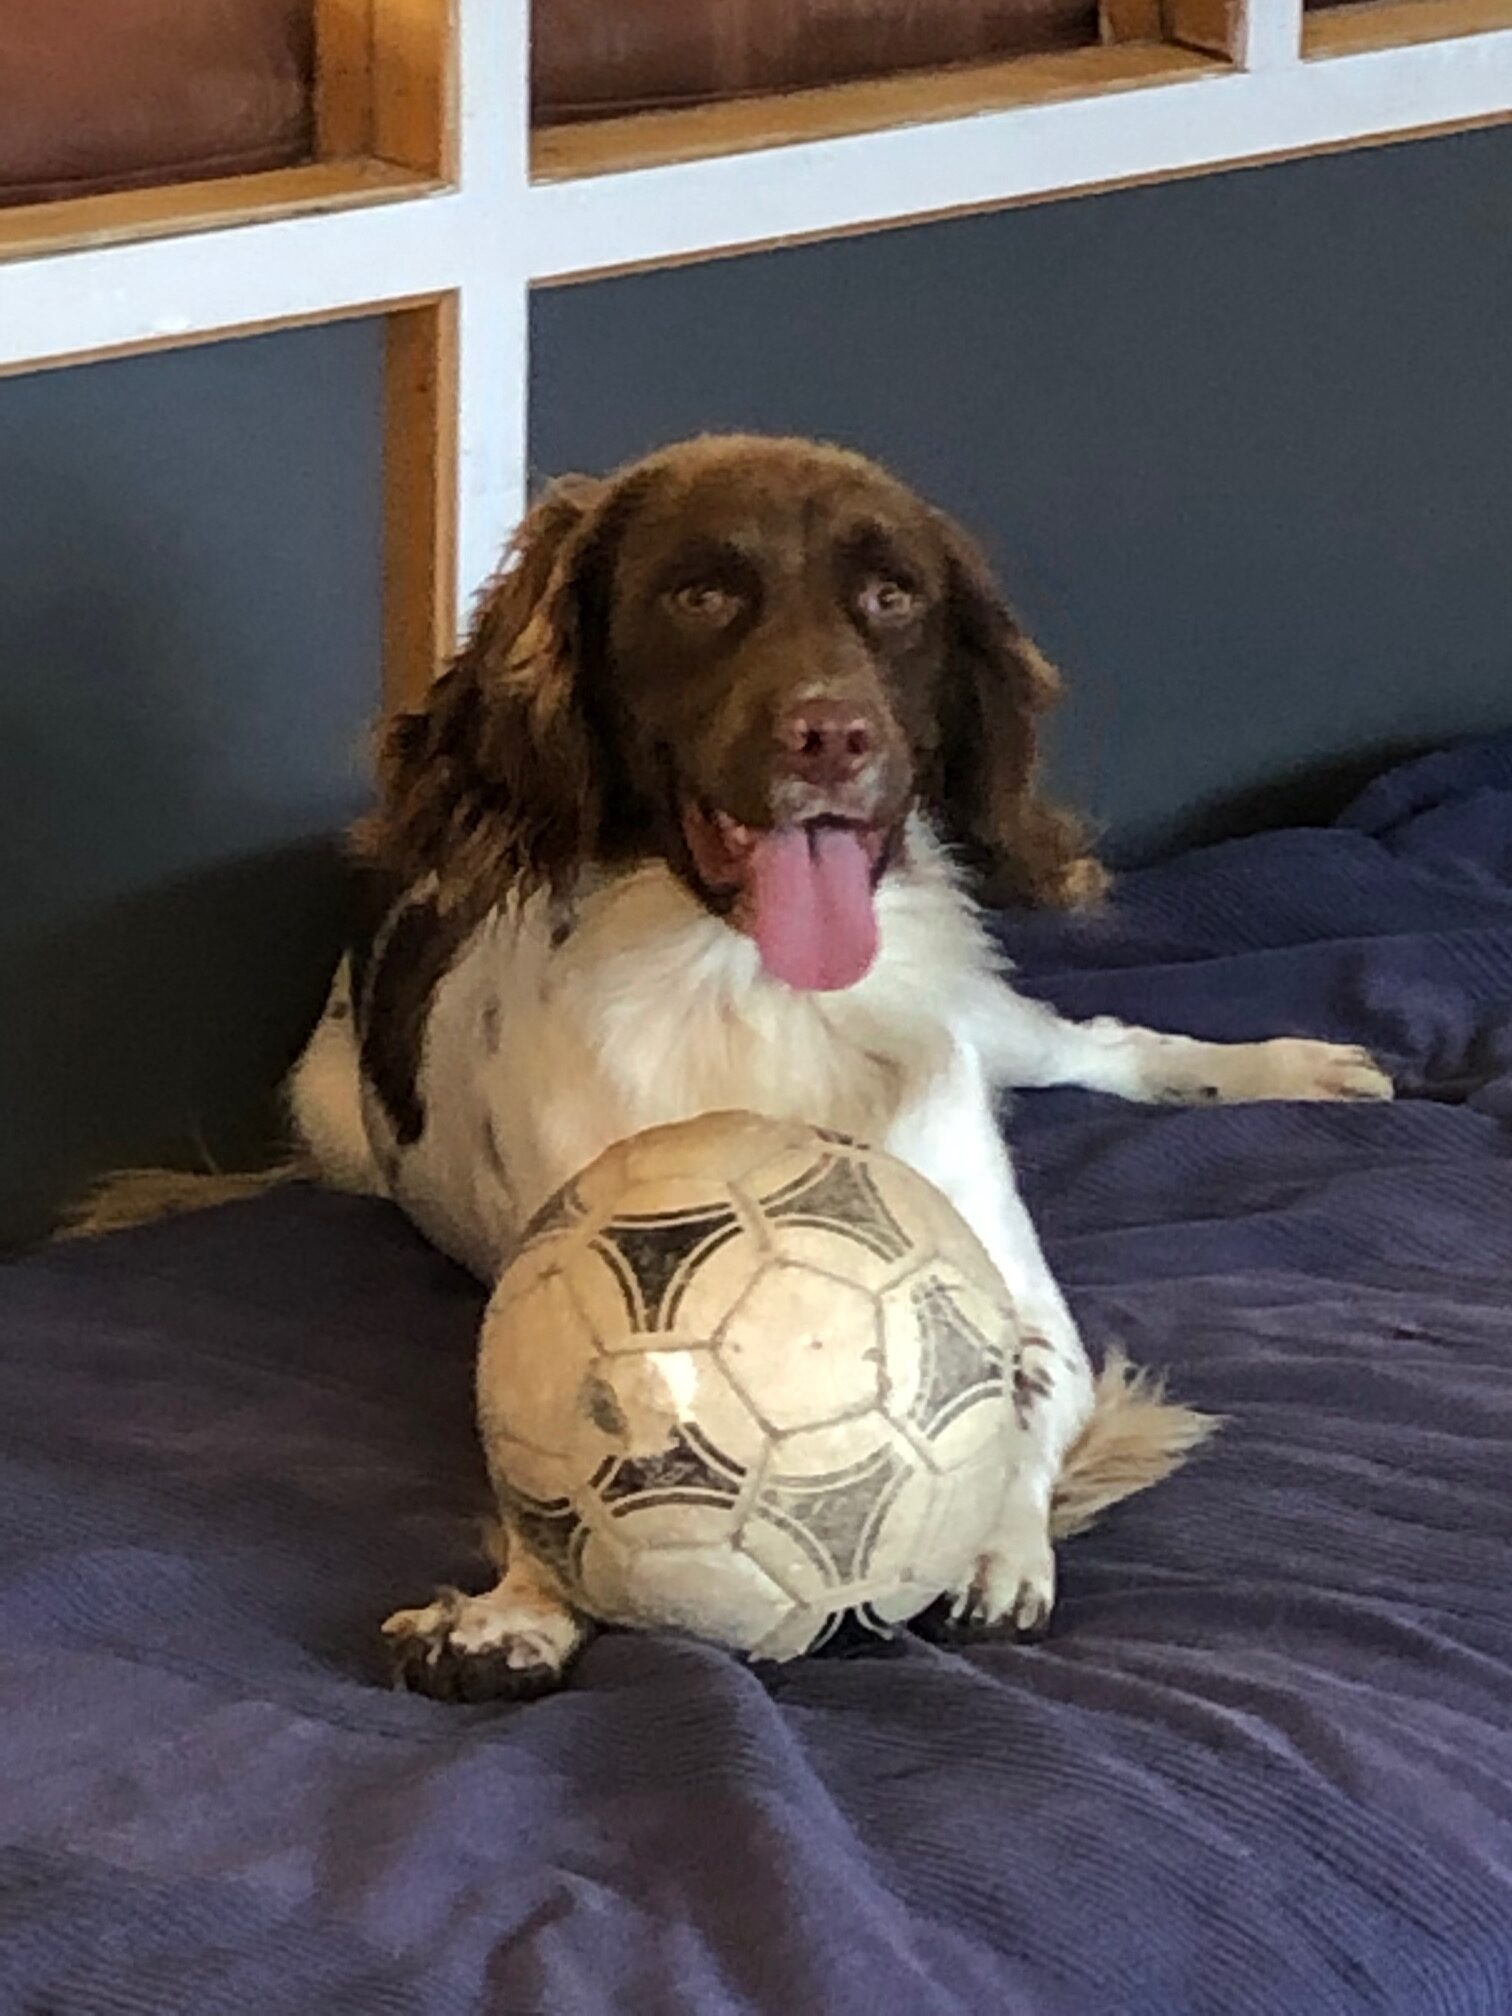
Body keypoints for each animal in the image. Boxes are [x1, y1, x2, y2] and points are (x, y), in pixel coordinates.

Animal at [288, 434, 1392, 1699]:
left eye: (893, 598)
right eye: (700, 595)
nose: (833, 735)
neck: (762, 992)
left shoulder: (1016, 1291)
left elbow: (1021, 1386)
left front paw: (1001, 1550)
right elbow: (541, 1457)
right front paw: (518, 1605)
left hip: (996, 1022)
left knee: (1114, 1046)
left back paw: (1295, 1066)